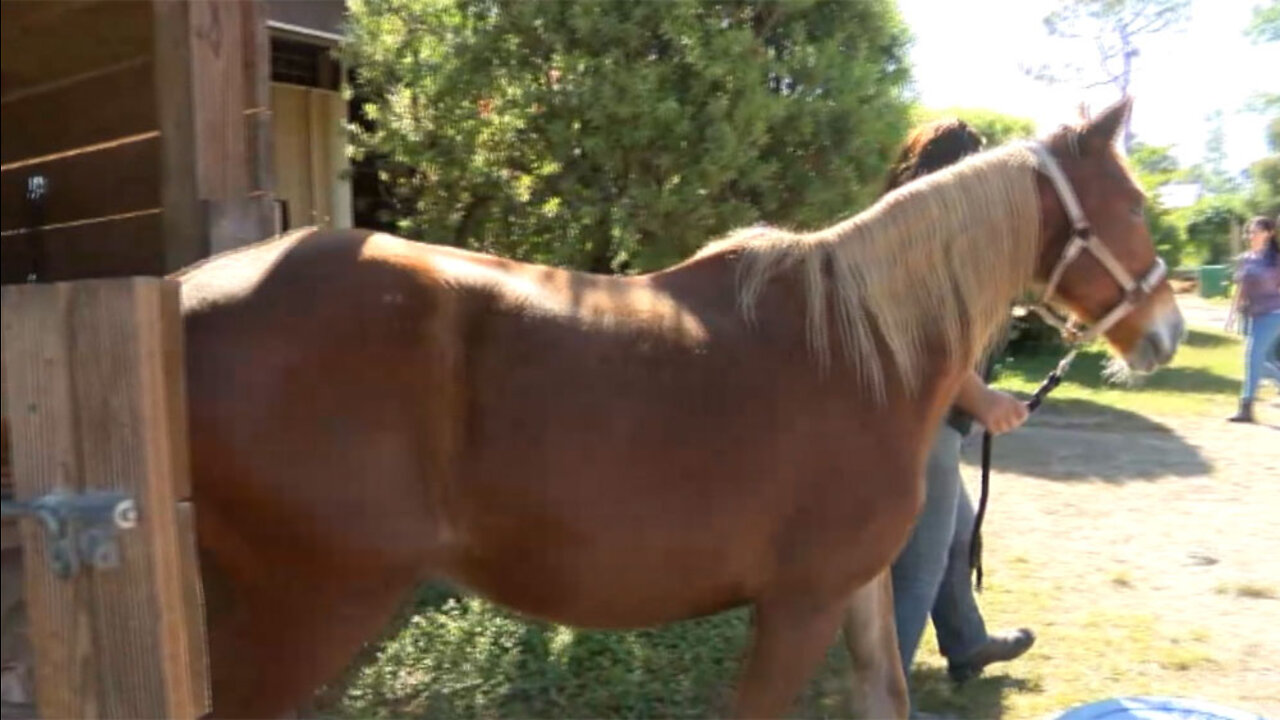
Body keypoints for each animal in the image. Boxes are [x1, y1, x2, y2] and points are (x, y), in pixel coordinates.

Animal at [177, 96, 1177, 717]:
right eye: (1131, 204)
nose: (1164, 331)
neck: (860, 347)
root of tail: (184, 298)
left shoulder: (852, 592)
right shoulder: (799, 606)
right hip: (313, 610)